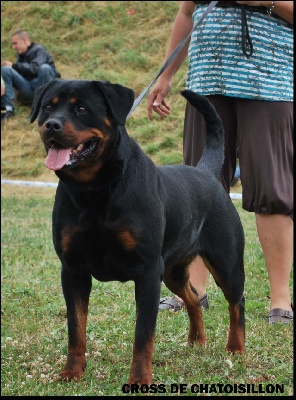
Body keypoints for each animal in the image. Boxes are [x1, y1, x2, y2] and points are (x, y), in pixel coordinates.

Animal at [30, 79, 245, 386]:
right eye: (48, 107)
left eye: (81, 109)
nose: (51, 125)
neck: (95, 190)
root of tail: (206, 173)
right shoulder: (72, 270)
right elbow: (76, 328)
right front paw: (72, 371)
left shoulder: (147, 271)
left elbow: (143, 336)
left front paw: (140, 379)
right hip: (172, 271)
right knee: (192, 297)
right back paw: (196, 341)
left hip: (225, 262)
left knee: (236, 301)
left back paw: (236, 347)